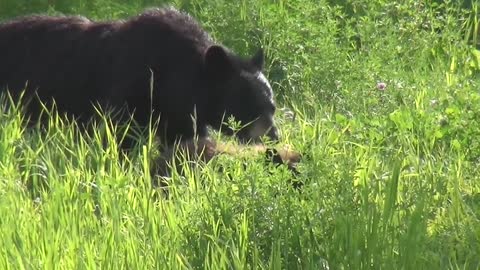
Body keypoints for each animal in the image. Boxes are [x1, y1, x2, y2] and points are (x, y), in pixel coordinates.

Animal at [0, 6, 278, 144]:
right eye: (248, 105)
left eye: (272, 106)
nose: (274, 136)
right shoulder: (127, 90)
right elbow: (118, 135)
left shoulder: (182, 117)